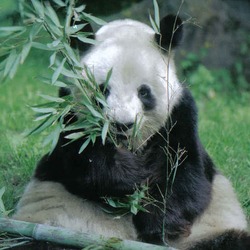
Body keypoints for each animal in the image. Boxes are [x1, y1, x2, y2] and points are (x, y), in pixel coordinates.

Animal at [14, 14, 250, 249]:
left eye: (144, 92)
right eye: (103, 90)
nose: (122, 124)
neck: (129, 145)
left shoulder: (179, 116)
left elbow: (186, 174)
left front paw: (160, 223)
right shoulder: (71, 117)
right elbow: (84, 164)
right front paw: (134, 175)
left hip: (208, 231)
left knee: (231, 240)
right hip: (55, 223)